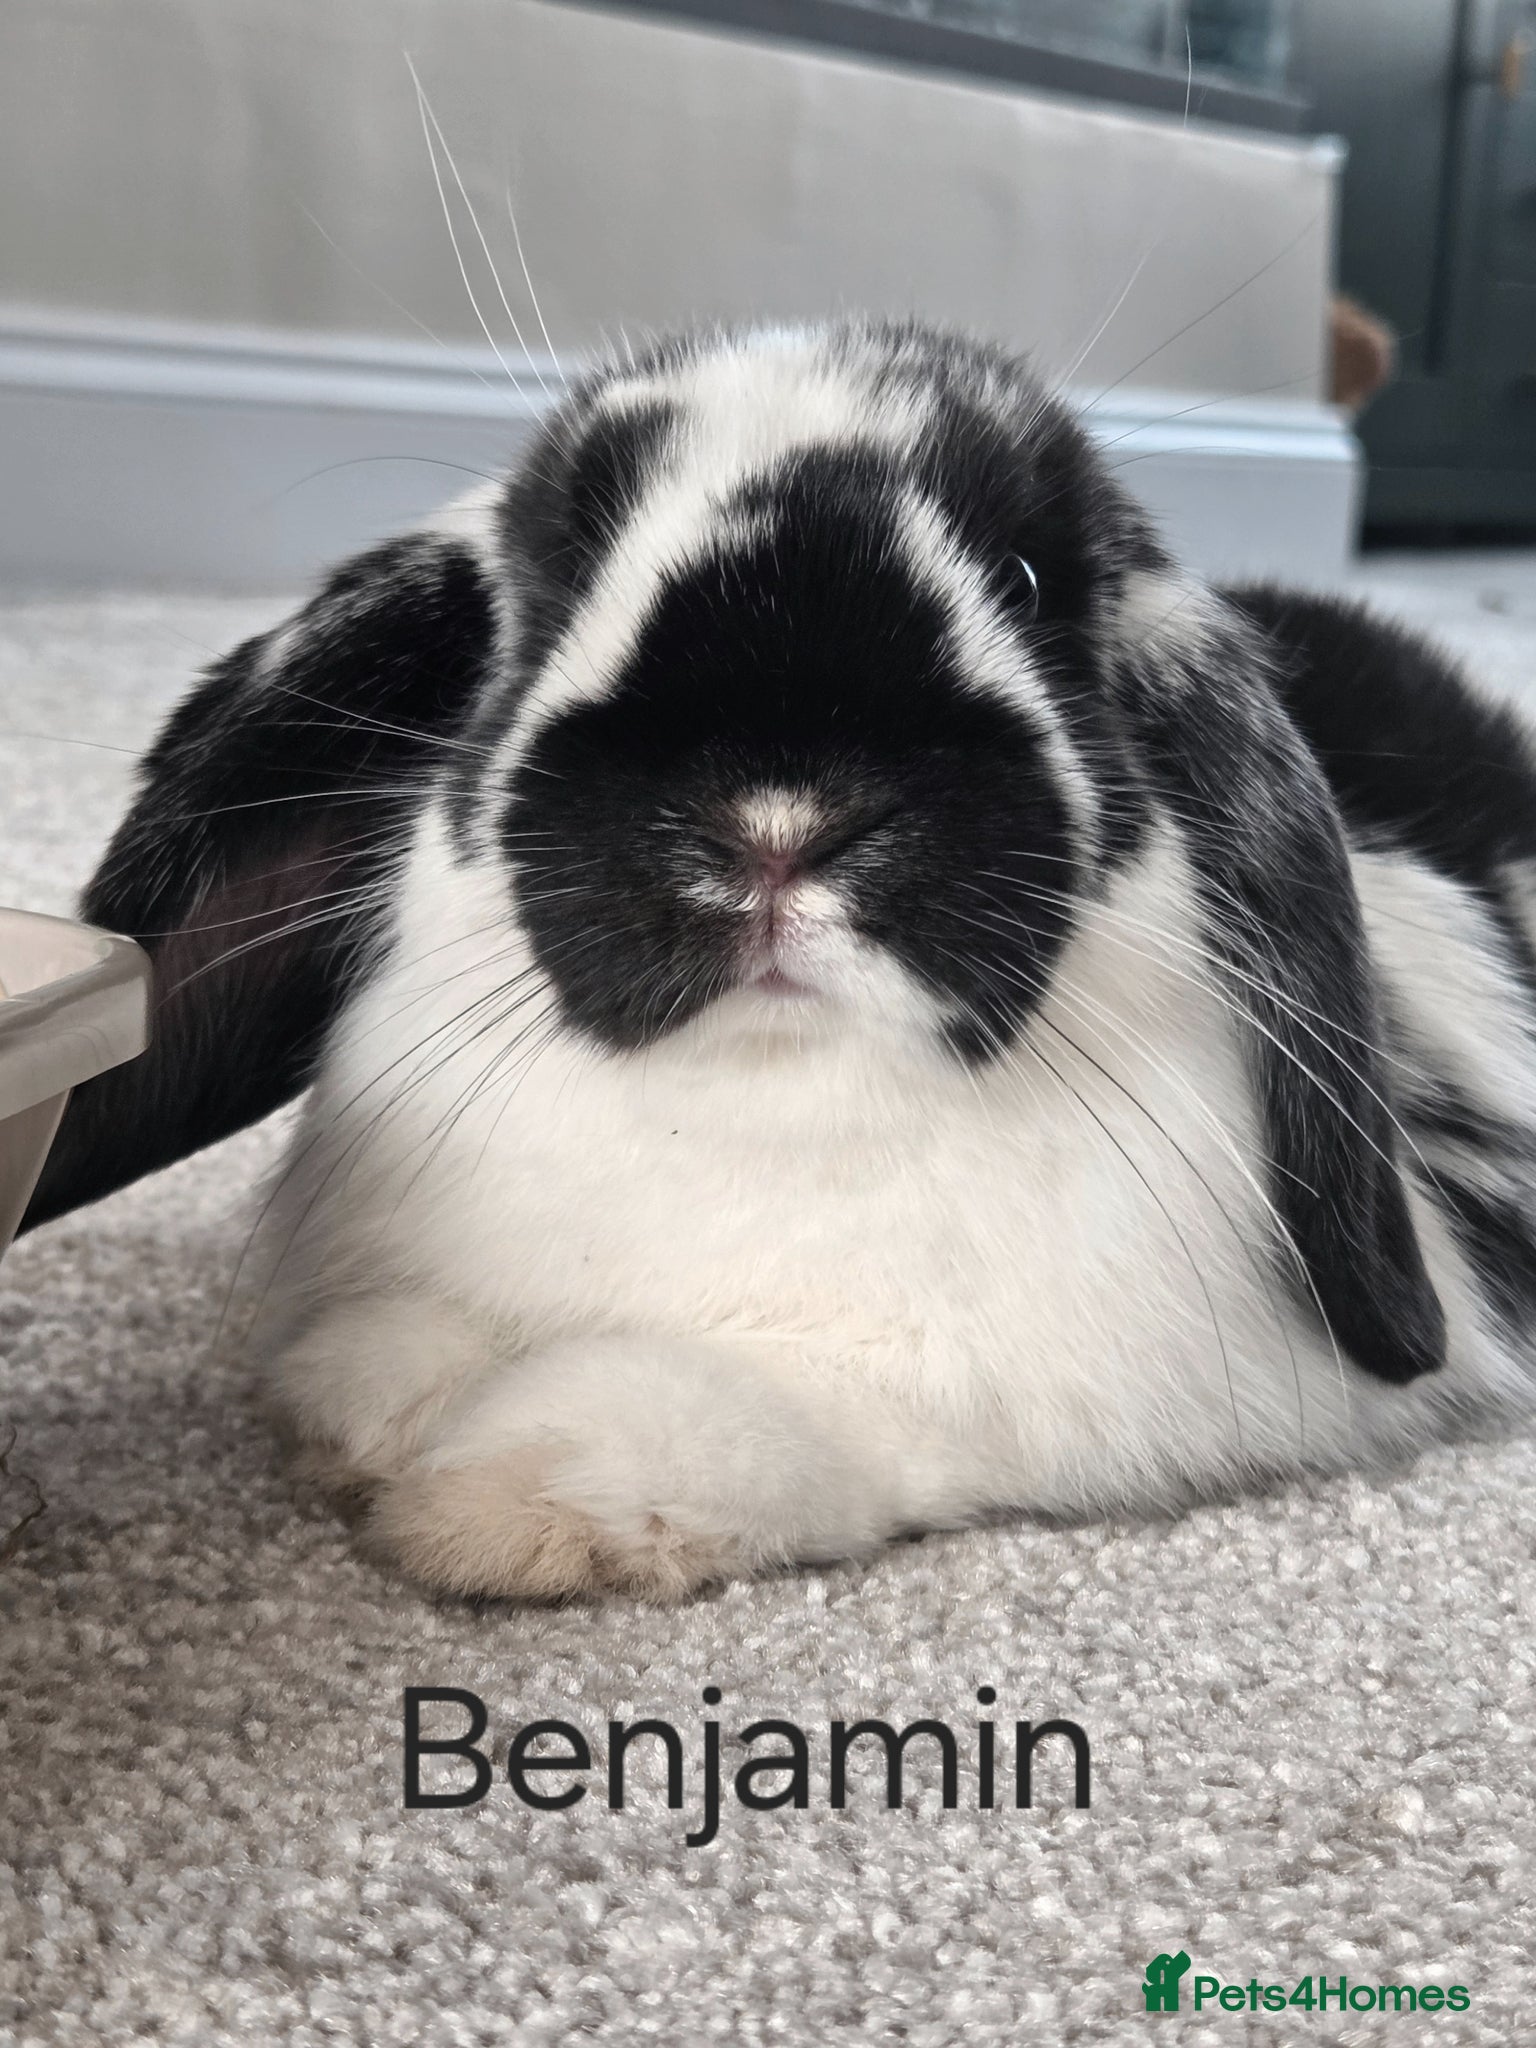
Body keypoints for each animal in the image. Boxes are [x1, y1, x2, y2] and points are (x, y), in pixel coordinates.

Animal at [23, 320, 1536, 1600]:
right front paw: (369, 1414)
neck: (761, 1093)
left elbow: (783, 1413)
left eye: (1033, 579)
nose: (778, 814)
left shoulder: (1008, 1388)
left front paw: (500, 1493)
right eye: (561, 568)